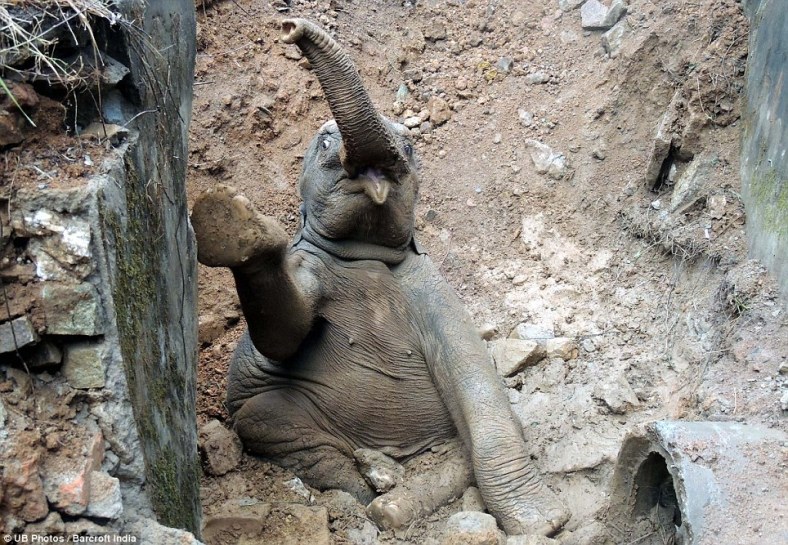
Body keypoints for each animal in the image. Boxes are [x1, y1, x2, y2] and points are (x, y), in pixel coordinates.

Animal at [190, 18, 570, 537]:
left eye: (409, 146)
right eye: (323, 143)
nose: (289, 26)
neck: (362, 254)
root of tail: (403, 453)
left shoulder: (429, 284)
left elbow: (474, 374)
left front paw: (542, 523)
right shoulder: (312, 271)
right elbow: (282, 336)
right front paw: (227, 220)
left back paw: (401, 491)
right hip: (273, 413)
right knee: (265, 421)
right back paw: (376, 490)